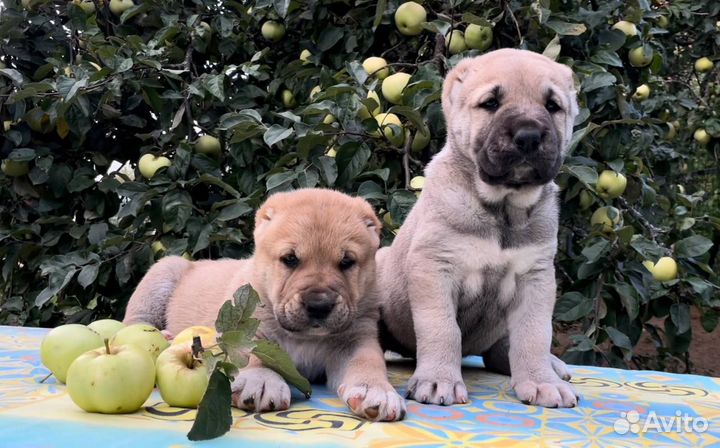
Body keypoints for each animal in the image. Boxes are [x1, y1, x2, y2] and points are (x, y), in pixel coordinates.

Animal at [124, 188, 404, 420]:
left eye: (347, 262)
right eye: (290, 259)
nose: (319, 305)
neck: (307, 338)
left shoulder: (356, 339)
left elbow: (367, 361)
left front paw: (376, 391)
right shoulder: (247, 331)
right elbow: (251, 353)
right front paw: (260, 381)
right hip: (161, 274)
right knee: (132, 324)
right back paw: (165, 335)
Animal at [380, 50, 584, 410]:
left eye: (552, 106)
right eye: (490, 103)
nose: (529, 136)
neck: (502, 208)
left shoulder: (536, 276)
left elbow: (534, 334)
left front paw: (542, 382)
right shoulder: (435, 267)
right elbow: (442, 328)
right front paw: (439, 380)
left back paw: (552, 366)